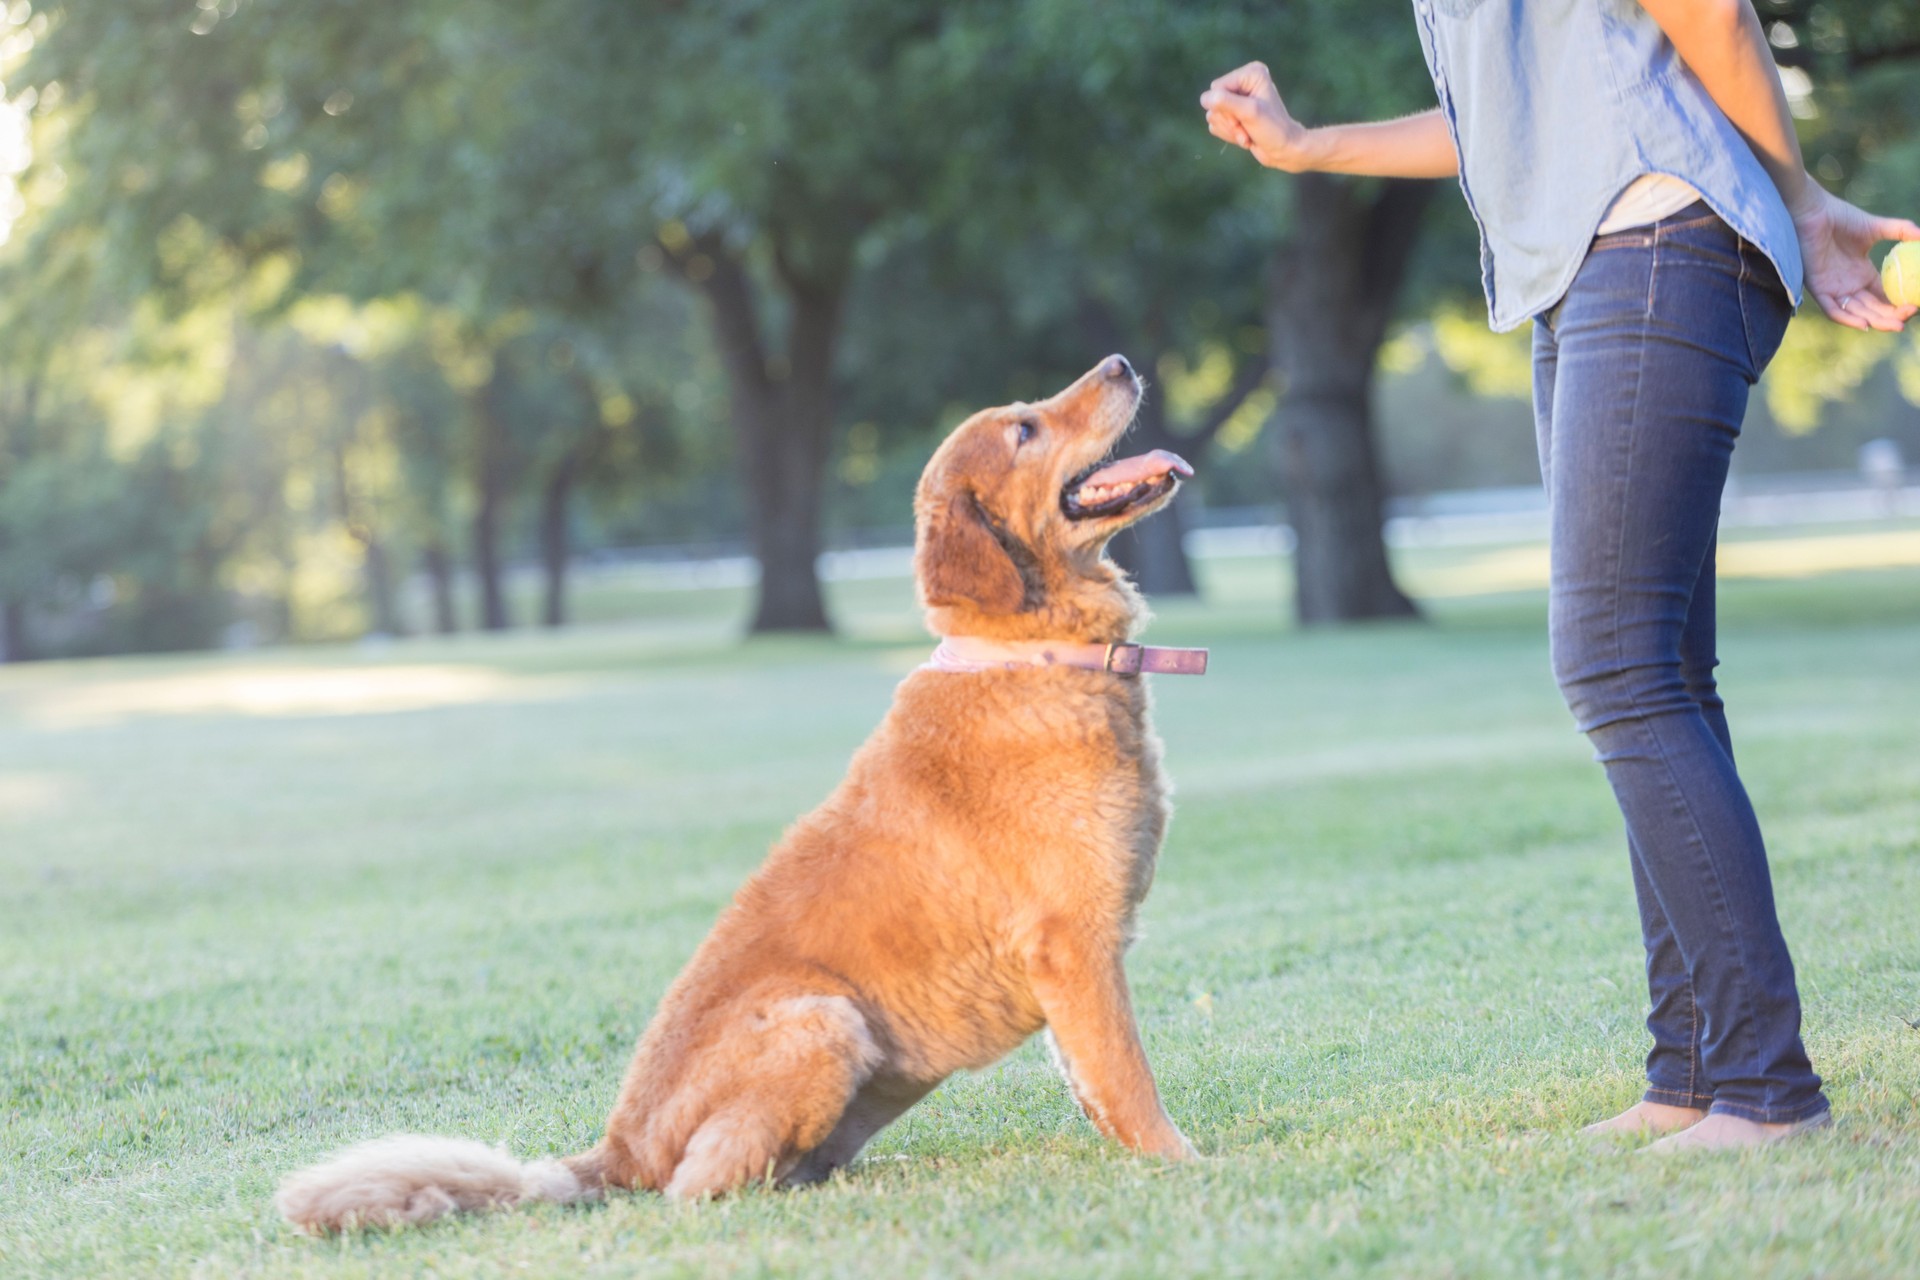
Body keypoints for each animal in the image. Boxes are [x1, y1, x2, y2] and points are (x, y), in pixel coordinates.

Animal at [278, 355, 1205, 1235]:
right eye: (1024, 429)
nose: (1121, 363)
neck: (1033, 654)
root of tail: (617, 1151)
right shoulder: (1072, 946)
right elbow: (1129, 1079)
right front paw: (1184, 1165)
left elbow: (1093, 1084)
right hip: (822, 1019)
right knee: (698, 1188)